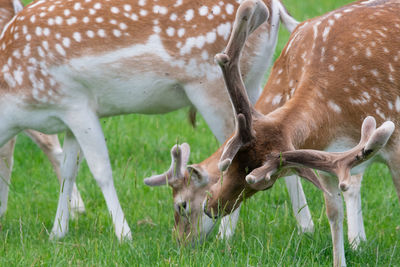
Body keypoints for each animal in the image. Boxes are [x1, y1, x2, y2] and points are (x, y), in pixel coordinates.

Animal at [145, 0, 400, 266]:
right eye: (230, 163)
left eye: (264, 182)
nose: (211, 207)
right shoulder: (327, 151)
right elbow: (333, 212)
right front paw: (340, 259)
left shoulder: (395, 145)